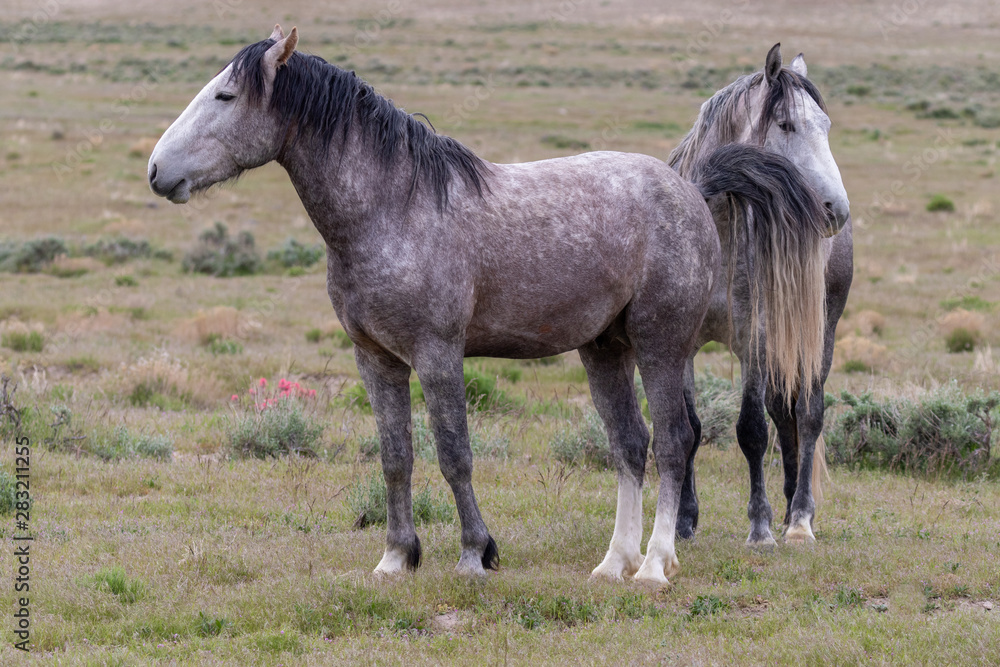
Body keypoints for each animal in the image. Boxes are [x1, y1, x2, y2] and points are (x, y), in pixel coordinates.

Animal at [148, 26, 828, 581]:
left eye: (225, 97)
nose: (157, 171)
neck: (391, 209)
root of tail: (690, 187)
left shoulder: (437, 355)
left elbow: (454, 454)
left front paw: (477, 552)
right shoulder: (376, 361)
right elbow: (396, 458)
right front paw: (397, 557)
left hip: (662, 347)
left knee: (671, 442)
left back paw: (656, 565)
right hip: (605, 350)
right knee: (631, 445)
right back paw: (614, 562)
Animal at [668, 44, 853, 546]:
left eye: (826, 126)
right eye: (786, 124)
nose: (837, 209)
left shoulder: (753, 337)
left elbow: (751, 429)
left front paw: (760, 526)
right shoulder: (683, 342)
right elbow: (691, 428)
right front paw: (684, 520)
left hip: (819, 331)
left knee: (807, 414)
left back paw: (800, 519)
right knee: (784, 415)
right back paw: (790, 506)